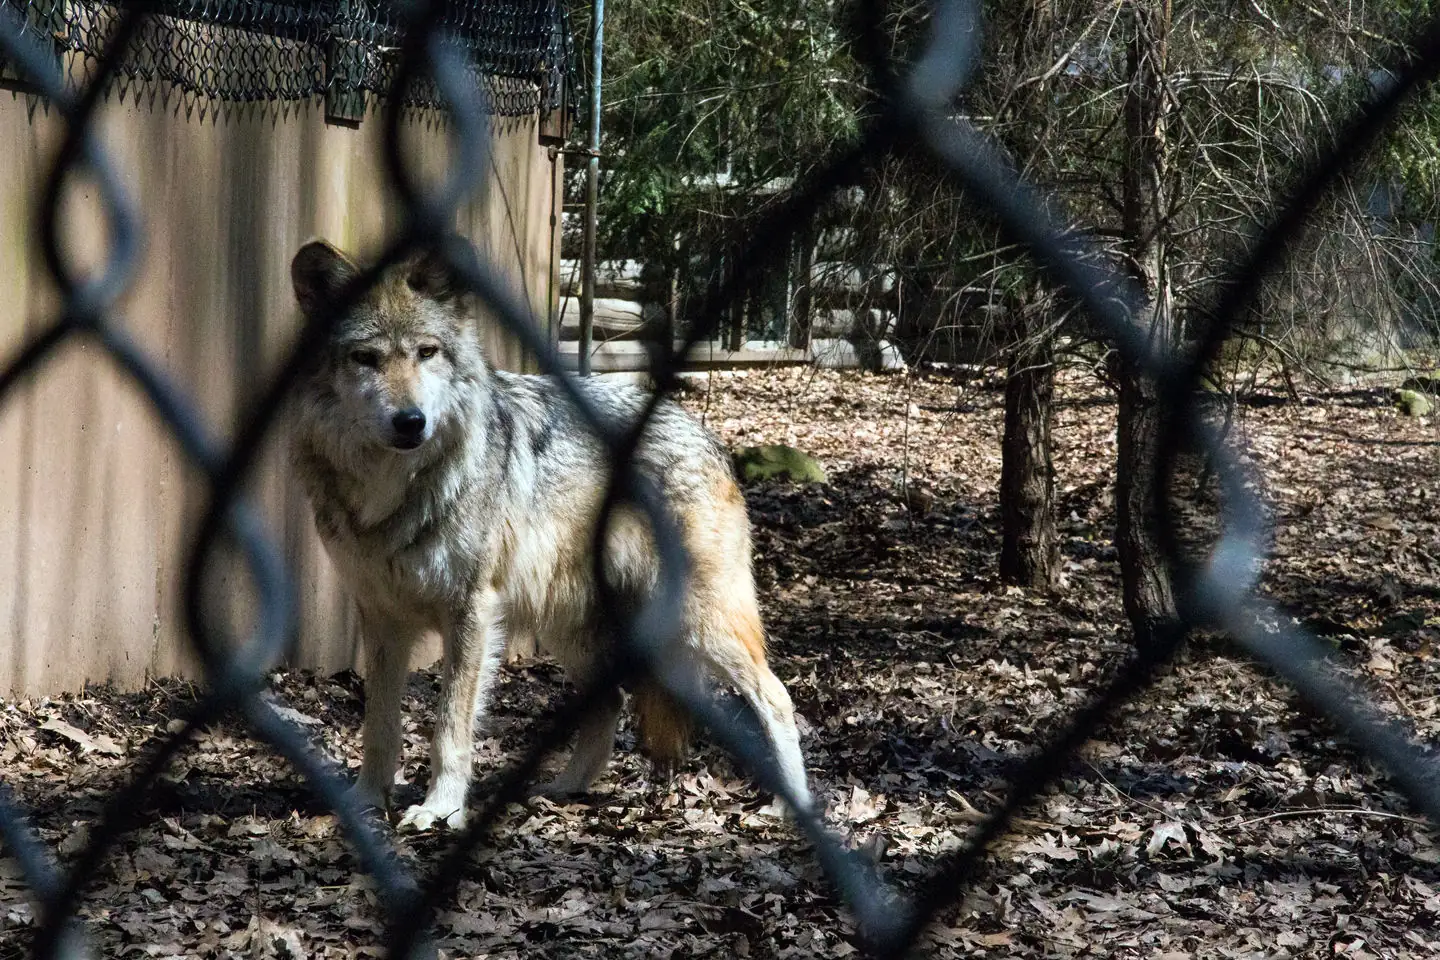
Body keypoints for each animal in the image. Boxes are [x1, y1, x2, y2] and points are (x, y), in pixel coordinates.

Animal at [287, 237, 813, 830]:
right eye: (366, 359)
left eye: (427, 352)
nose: (411, 421)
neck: (392, 489)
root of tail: (707, 436)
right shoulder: (381, 620)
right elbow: (379, 727)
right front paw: (365, 798)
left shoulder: (470, 611)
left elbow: (450, 728)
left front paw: (440, 808)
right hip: (571, 626)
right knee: (611, 703)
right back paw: (563, 788)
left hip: (697, 622)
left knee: (776, 696)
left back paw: (790, 805)